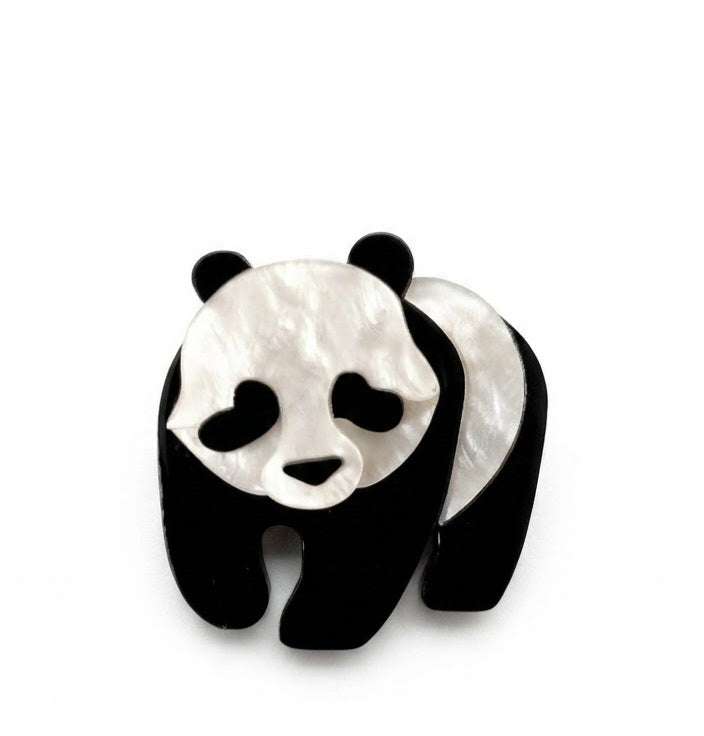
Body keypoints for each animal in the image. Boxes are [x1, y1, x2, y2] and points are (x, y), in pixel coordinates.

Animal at [158, 233, 547, 649]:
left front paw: (313, 629)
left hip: (507, 437)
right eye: (254, 408)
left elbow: (365, 547)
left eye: (357, 397)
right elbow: (209, 526)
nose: (313, 469)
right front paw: (237, 607)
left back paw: (454, 594)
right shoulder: (189, 456)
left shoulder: (426, 441)